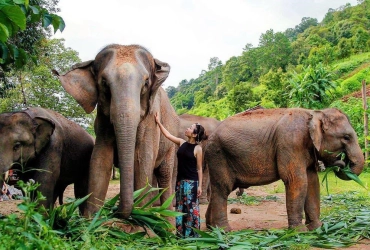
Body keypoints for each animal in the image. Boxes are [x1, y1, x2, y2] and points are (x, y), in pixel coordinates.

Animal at [52, 44, 178, 217]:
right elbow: (100, 161)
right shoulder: (102, 120)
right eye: (104, 82)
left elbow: (143, 160)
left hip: (170, 146)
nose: (115, 210)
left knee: (165, 176)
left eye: (146, 83)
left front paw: (141, 215)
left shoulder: (151, 119)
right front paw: (92, 220)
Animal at [205, 107, 364, 230]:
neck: (315, 113)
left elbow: (312, 182)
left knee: (218, 189)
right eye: (346, 137)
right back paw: (224, 231)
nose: (341, 162)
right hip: (218, 155)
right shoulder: (291, 143)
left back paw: (211, 229)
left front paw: (317, 228)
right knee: (223, 188)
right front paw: (298, 232)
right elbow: (297, 181)